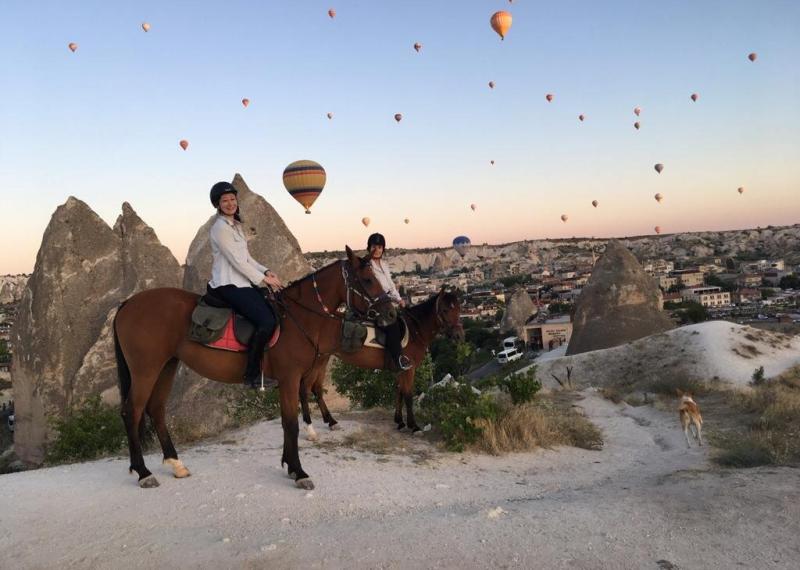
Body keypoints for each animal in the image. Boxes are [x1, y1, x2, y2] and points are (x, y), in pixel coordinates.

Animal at [113, 245, 396, 488]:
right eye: (368, 280)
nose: (391, 313)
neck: (298, 317)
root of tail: (127, 304)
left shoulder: (289, 381)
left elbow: (287, 421)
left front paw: (289, 465)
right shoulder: (290, 379)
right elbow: (291, 424)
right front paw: (299, 471)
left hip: (166, 366)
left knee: (156, 410)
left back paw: (176, 464)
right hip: (145, 370)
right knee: (132, 412)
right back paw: (143, 472)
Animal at [298, 286, 462, 438]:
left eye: (459, 309)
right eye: (445, 310)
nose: (459, 335)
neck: (416, 330)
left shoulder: (400, 368)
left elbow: (399, 391)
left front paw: (400, 422)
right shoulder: (409, 369)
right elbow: (408, 395)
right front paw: (414, 426)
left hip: (323, 359)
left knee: (316, 389)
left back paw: (331, 421)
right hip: (316, 361)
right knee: (305, 389)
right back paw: (310, 428)